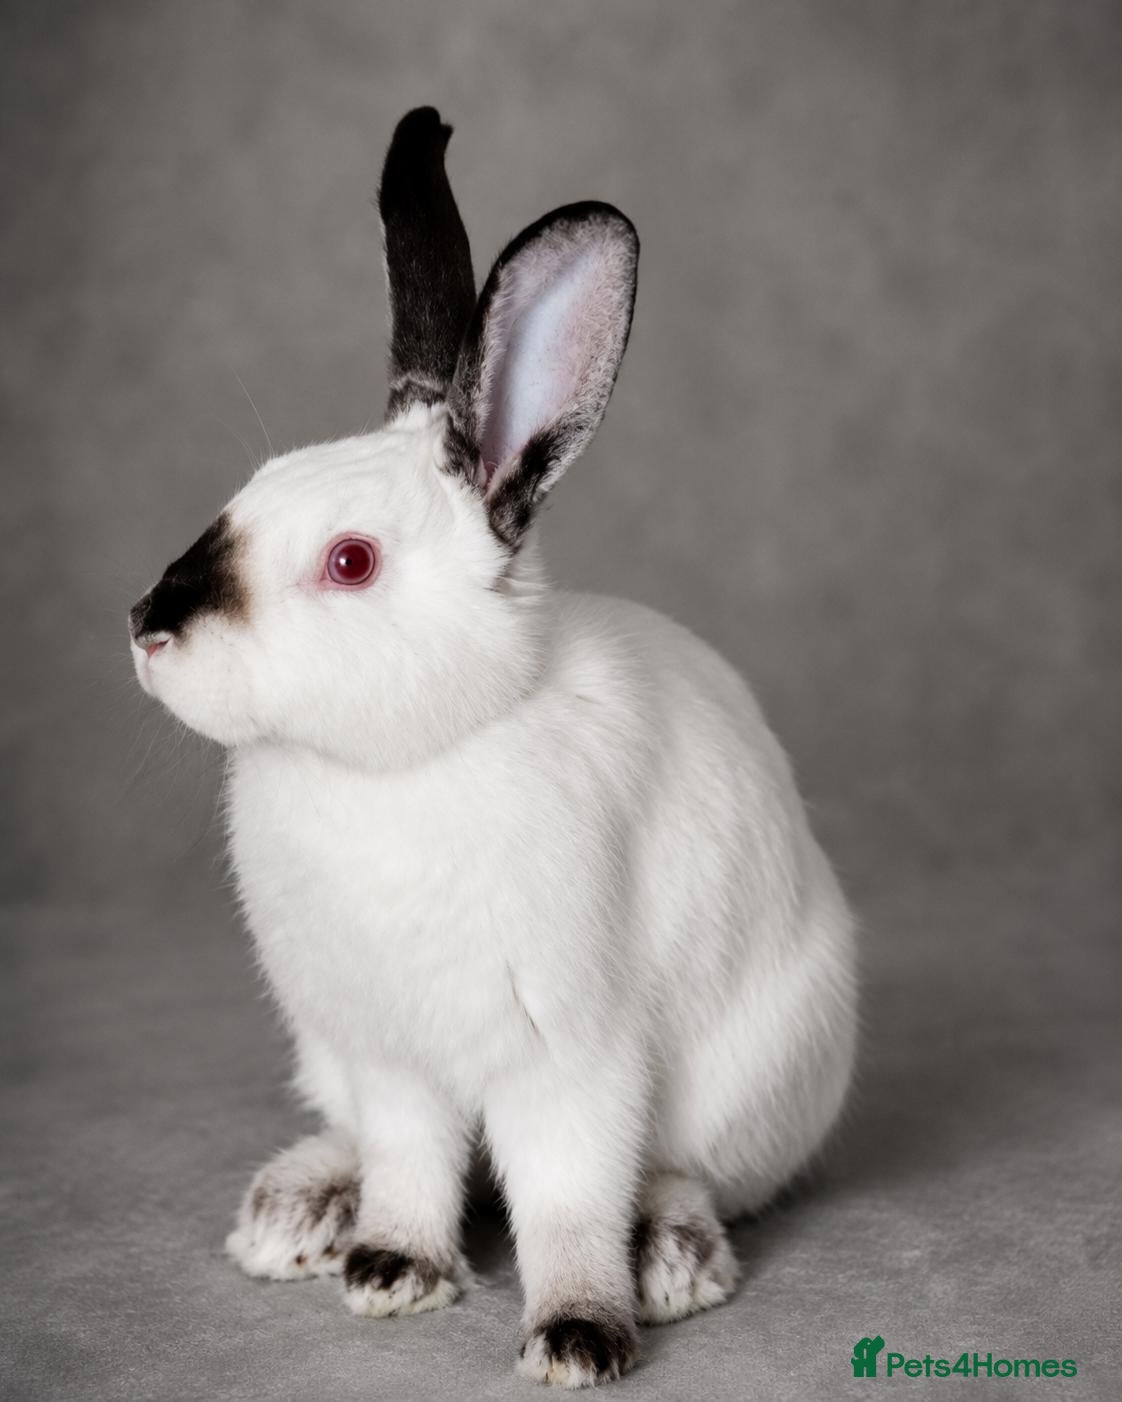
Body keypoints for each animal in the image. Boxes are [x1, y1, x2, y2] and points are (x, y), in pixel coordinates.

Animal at [128, 107, 857, 1389]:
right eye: (247, 493)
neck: (411, 758)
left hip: (755, 1077)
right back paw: (299, 1211)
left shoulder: (568, 1055)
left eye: (352, 561)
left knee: (682, 1171)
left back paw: (669, 1256)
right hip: (327, 1051)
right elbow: (412, 1163)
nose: (147, 631)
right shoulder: (391, 1054)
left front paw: (578, 1335)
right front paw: (391, 1270)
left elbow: (567, 1199)